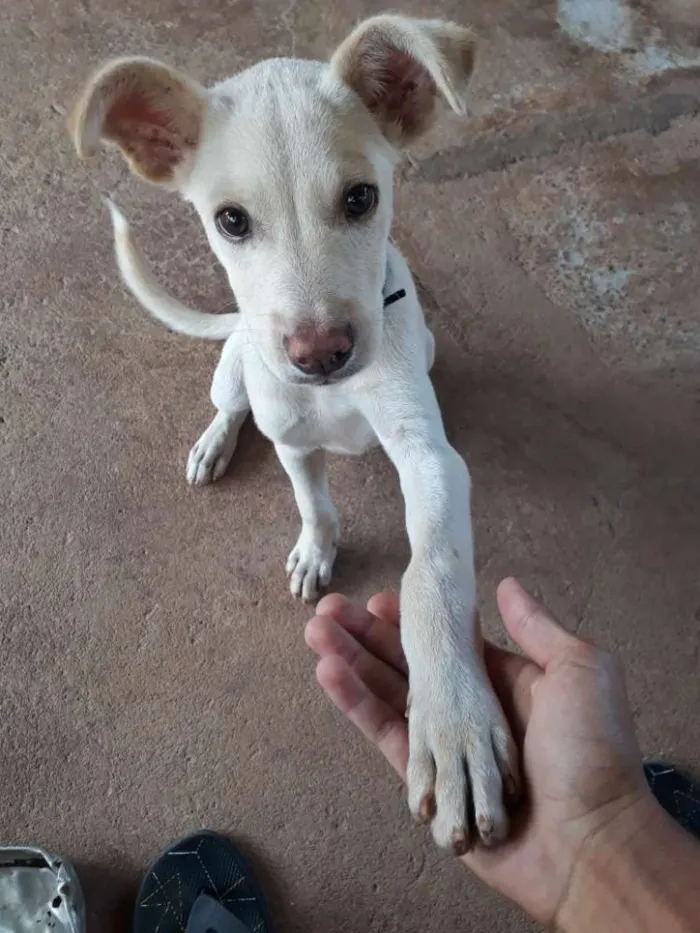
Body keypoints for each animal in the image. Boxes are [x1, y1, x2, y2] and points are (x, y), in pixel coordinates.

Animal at [69, 14, 520, 856]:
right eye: (231, 220)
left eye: (361, 197)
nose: (319, 354)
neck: (338, 396)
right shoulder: (291, 438)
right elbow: (314, 501)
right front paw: (316, 550)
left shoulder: (429, 455)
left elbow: (433, 570)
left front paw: (454, 718)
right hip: (235, 367)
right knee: (230, 402)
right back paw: (213, 442)